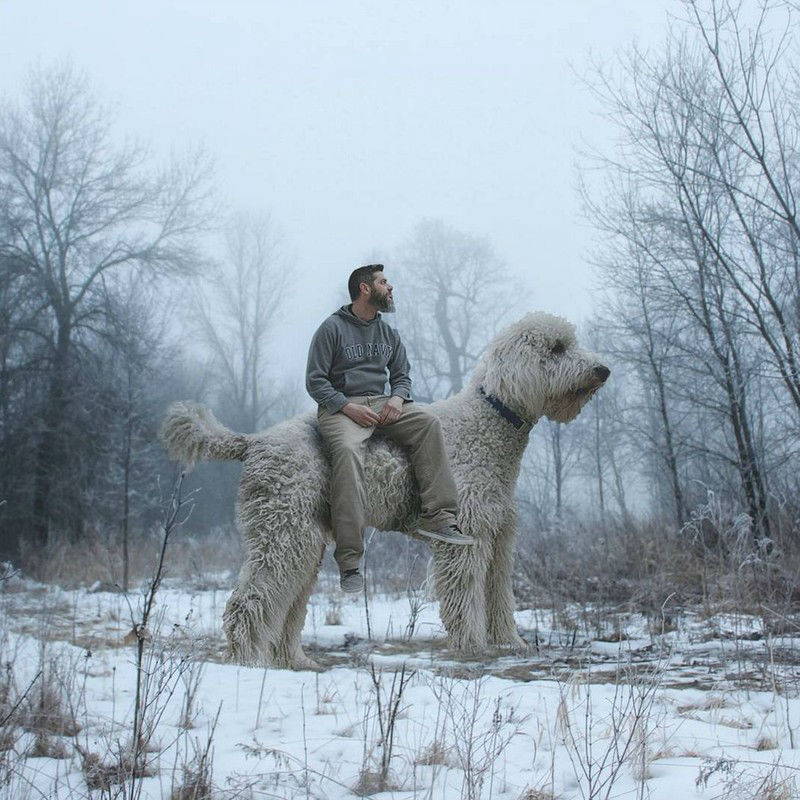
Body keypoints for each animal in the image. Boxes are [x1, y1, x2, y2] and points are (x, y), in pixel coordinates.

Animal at [164, 312, 612, 668]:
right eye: (556, 348)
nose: (602, 370)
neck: (486, 428)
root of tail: (253, 441)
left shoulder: (499, 535)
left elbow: (499, 594)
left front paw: (510, 643)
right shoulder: (465, 539)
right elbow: (466, 598)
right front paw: (473, 647)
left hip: (302, 542)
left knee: (288, 607)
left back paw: (295, 661)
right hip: (283, 534)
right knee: (248, 601)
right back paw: (247, 661)